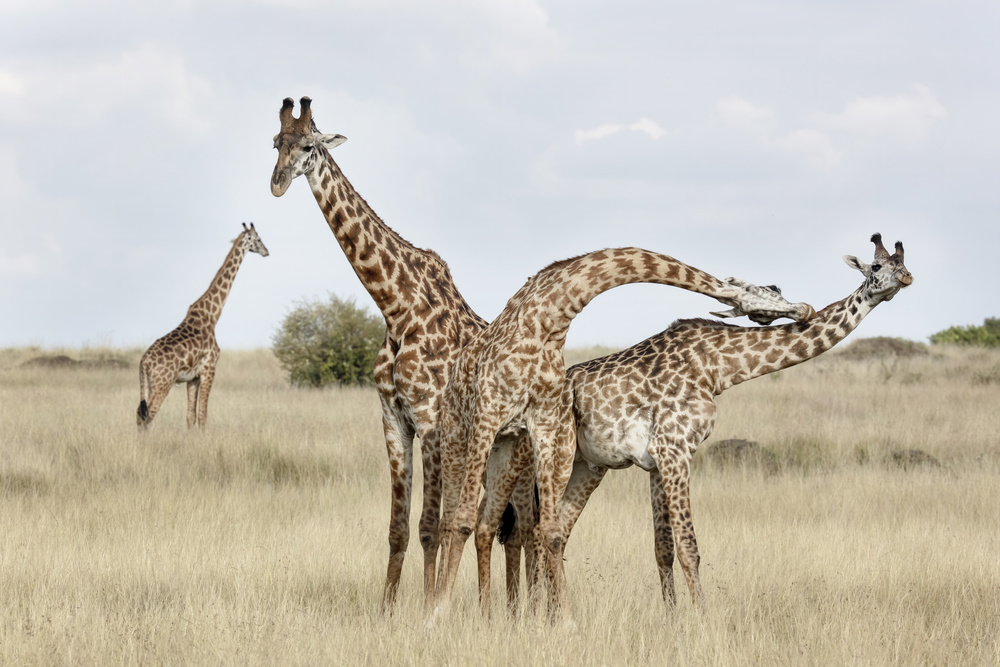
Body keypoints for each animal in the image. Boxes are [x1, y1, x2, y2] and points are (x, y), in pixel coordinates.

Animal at [139, 222, 270, 430]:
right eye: (258, 238)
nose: (267, 252)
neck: (212, 315)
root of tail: (144, 362)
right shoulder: (209, 369)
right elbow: (203, 415)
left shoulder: (193, 378)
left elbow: (190, 416)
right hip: (163, 383)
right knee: (148, 415)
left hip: (149, 384)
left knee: (140, 415)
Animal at [488, 234, 912, 612]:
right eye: (876, 267)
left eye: (903, 261)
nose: (905, 279)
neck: (717, 367)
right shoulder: (676, 449)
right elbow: (690, 548)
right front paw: (703, 622)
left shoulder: (656, 461)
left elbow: (663, 548)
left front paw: (673, 618)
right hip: (541, 462)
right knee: (532, 530)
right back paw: (539, 613)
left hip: (588, 467)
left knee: (554, 531)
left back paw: (548, 612)